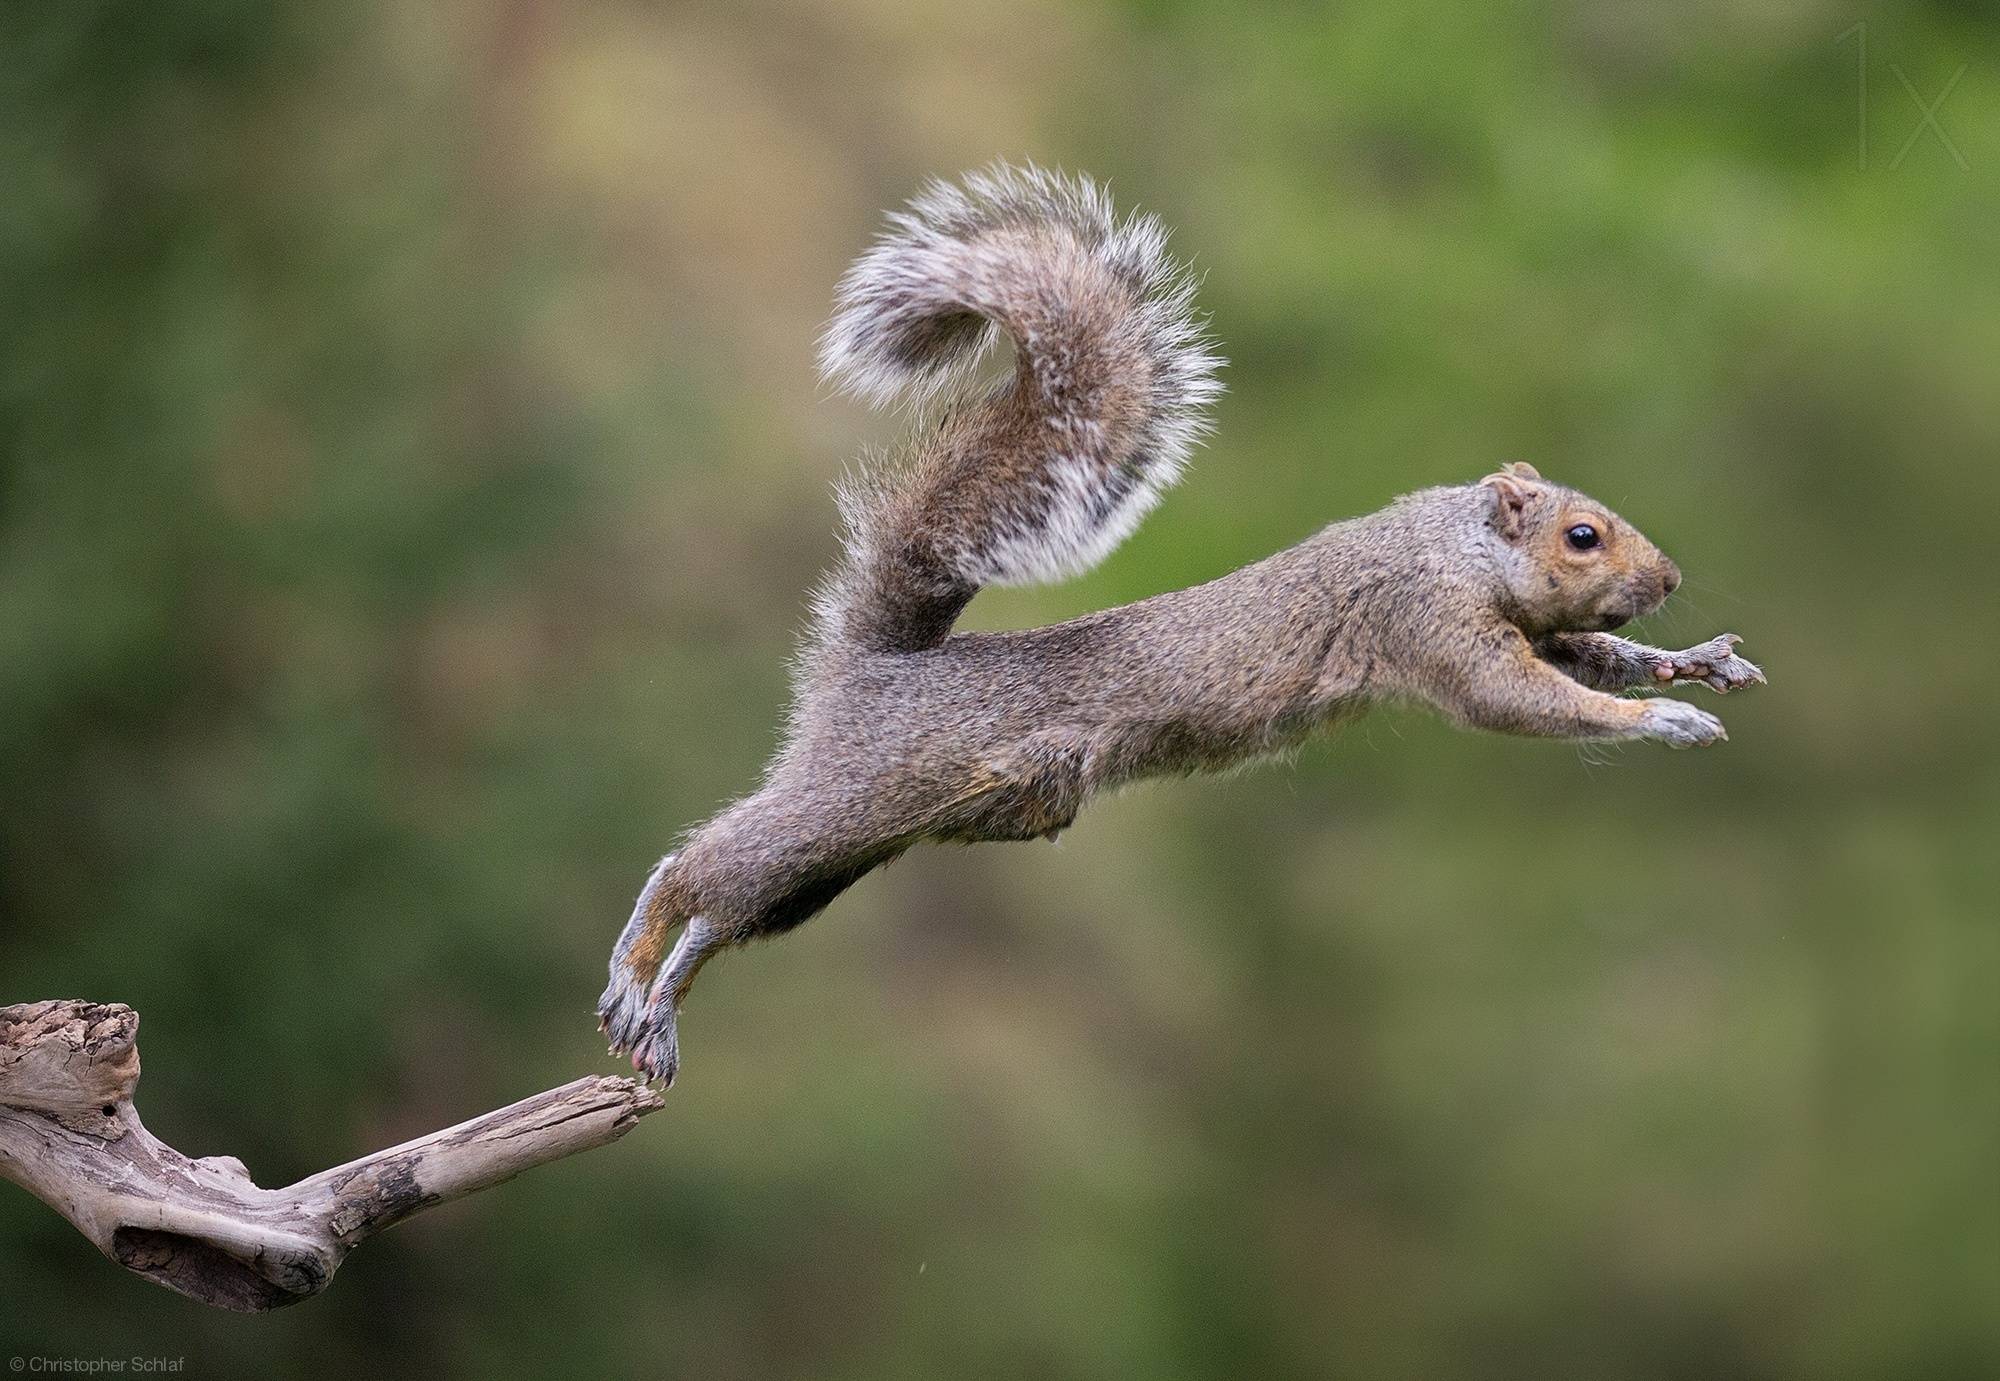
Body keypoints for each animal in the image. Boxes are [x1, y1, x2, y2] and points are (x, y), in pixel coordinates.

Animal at [598, 164, 1766, 1084]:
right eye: (1582, 535)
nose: (1668, 578)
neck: (1456, 546)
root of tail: (874, 666)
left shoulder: (1521, 623)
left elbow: (1589, 657)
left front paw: (1689, 663)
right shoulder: (1428, 620)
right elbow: (1527, 698)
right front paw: (1662, 723)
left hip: (871, 840)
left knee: (736, 906)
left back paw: (663, 997)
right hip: (863, 790)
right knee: (703, 863)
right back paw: (637, 953)